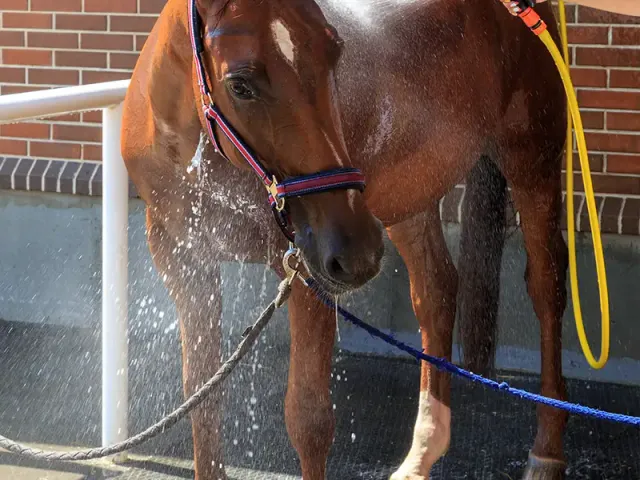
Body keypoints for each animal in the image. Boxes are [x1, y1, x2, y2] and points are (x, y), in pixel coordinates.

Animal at [121, 0, 568, 478]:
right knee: (436, 291)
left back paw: (545, 454)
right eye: (239, 84)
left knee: (546, 289)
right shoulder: (183, 258)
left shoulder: (305, 272)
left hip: (531, 163)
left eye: (335, 54)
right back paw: (422, 454)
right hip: (410, 195)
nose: (354, 251)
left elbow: (308, 419)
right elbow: (202, 397)